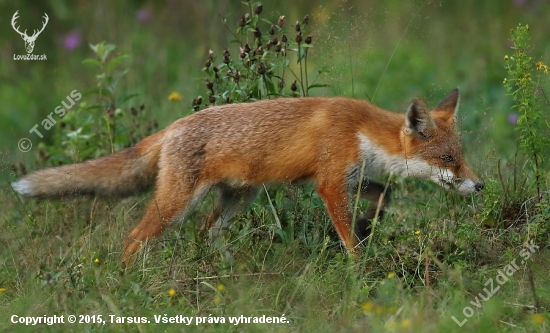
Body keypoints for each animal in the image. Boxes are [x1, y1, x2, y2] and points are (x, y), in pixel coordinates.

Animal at [8, 87, 484, 264]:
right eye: (448, 159)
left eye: (461, 158)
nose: (480, 185)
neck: (361, 130)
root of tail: (173, 126)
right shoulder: (330, 182)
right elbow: (348, 235)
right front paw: (361, 266)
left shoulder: (354, 177)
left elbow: (384, 196)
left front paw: (372, 224)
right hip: (175, 206)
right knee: (133, 238)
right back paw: (128, 279)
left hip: (238, 199)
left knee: (206, 235)